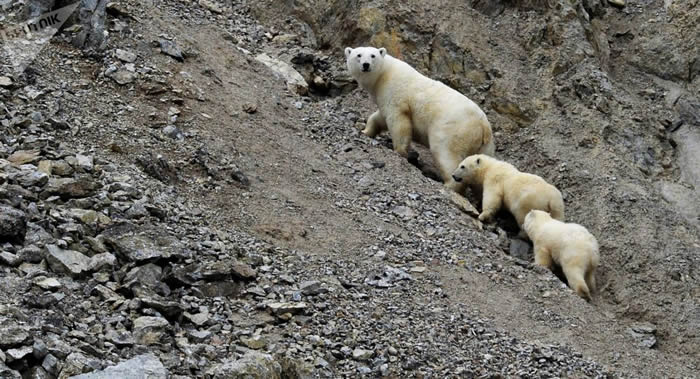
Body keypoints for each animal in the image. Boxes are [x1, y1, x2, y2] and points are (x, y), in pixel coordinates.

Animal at [344, 46, 492, 193]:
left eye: (373, 55)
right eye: (358, 55)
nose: (366, 65)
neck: (383, 74)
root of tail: (483, 124)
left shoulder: (395, 93)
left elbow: (398, 120)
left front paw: (399, 151)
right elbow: (379, 117)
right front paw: (365, 131)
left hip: (453, 129)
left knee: (445, 153)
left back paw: (449, 184)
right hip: (484, 145)